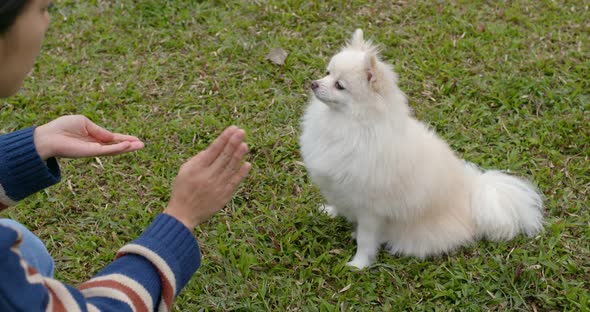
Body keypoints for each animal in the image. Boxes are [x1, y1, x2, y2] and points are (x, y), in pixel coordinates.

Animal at [300, 28, 544, 270]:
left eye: (339, 85)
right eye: (327, 73)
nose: (313, 83)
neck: (353, 124)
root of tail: (471, 193)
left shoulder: (370, 210)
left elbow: (366, 240)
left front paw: (358, 265)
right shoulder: (338, 186)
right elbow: (338, 202)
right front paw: (330, 211)